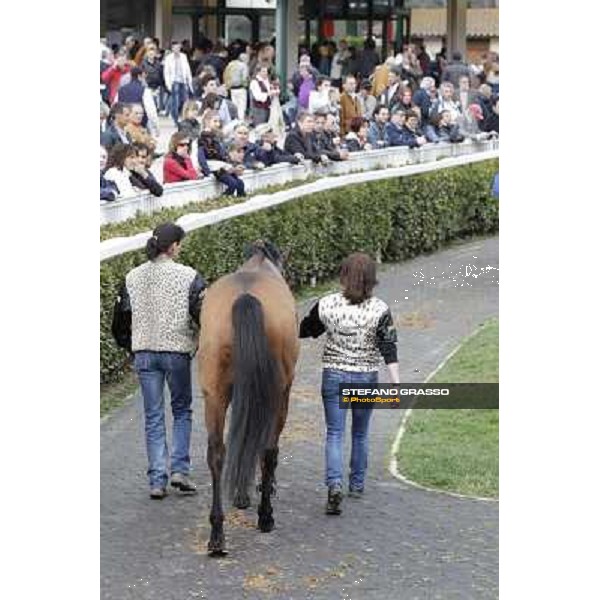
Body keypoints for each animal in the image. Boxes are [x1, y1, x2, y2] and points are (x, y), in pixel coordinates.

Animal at [198, 237, 298, 556]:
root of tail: (245, 298)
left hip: (214, 395)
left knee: (218, 453)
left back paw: (217, 534)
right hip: (277, 396)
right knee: (268, 450)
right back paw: (265, 516)